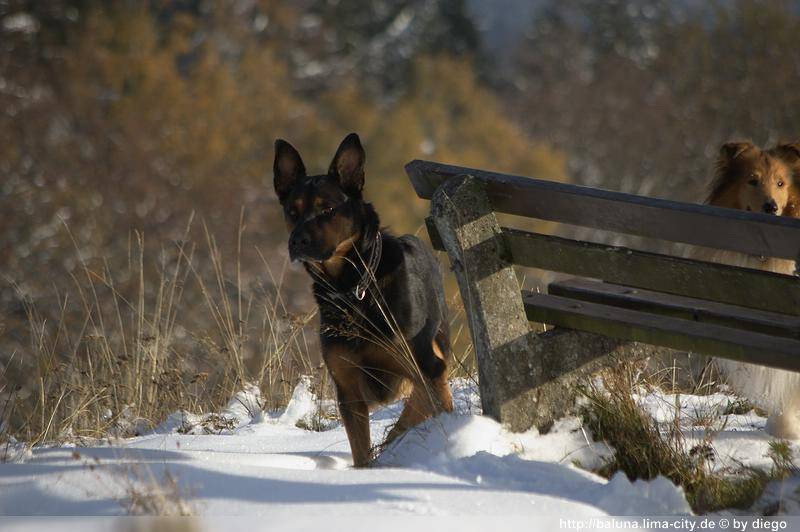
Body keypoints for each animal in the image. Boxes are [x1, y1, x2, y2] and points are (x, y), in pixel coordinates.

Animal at [273, 133, 454, 466]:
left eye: (327, 209)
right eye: (292, 211)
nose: (297, 242)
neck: (353, 287)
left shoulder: (426, 370)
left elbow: (417, 413)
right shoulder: (348, 389)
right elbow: (361, 452)